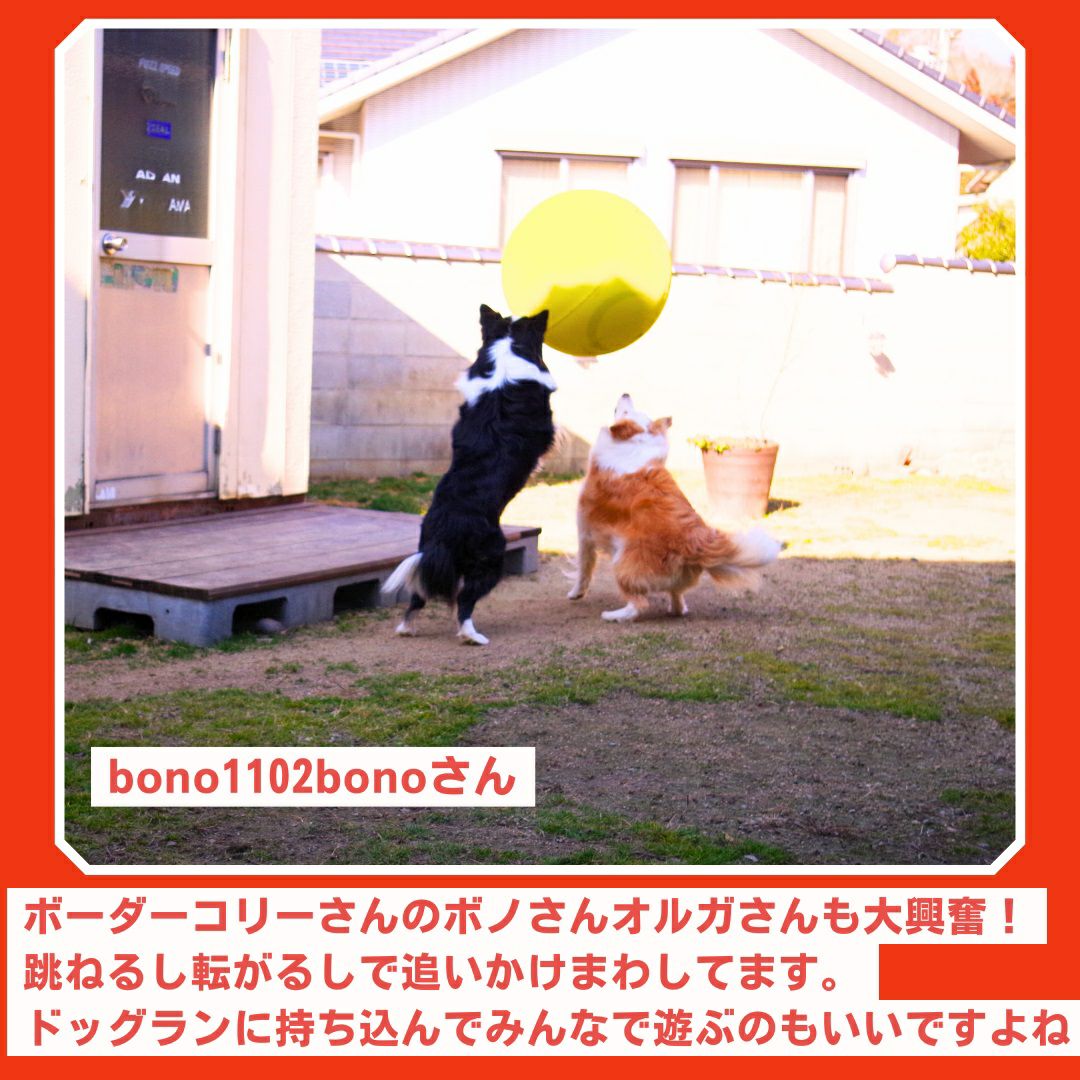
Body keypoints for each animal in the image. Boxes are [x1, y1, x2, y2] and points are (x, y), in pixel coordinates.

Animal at [382, 304, 555, 645]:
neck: (507, 347)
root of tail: (444, 534)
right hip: (492, 557)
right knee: (464, 600)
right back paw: (472, 636)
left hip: (428, 561)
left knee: (418, 597)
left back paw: (407, 628)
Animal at [568, 394, 781, 621]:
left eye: (626, 413)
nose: (626, 394)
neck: (636, 442)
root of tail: (693, 540)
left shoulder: (585, 530)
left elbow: (584, 568)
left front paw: (575, 593)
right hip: (676, 578)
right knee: (677, 599)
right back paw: (673, 609)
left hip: (622, 566)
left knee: (639, 604)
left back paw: (613, 615)